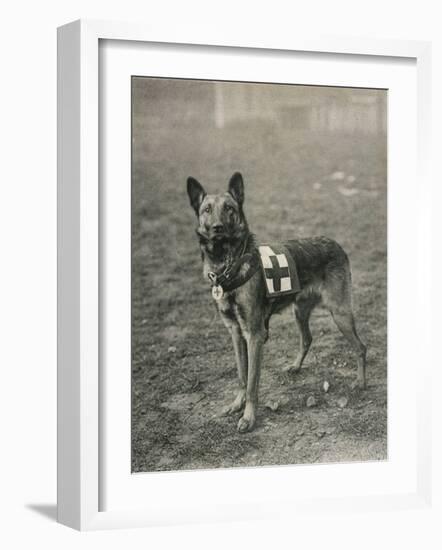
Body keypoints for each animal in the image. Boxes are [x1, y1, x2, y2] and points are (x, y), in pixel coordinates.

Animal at [186, 174, 366, 436]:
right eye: (206, 209)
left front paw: (248, 417)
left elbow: (252, 382)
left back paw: (361, 382)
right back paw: (296, 366)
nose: (218, 227)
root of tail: (334, 243)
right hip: (300, 311)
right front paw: (236, 404)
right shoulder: (235, 333)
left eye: (229, 208)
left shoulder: (254, 335)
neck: (228, 266)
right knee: (307, 338)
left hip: (339, 312)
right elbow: (241, 376)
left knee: (361, 348)